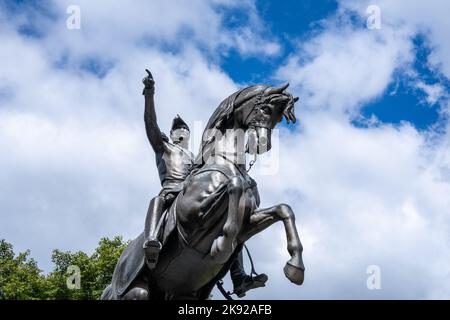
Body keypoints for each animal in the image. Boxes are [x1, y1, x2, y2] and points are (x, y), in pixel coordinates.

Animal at [101, 84, 304, 298]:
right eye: (265, 109)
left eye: (279, 118)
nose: (263, 145)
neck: (228, 163)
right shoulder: (193, 215)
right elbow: (235, 186)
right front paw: (221, 247)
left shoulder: (248, 222)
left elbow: (283, 209)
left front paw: (295, 267)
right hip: (136, 291)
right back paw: (152, 247)